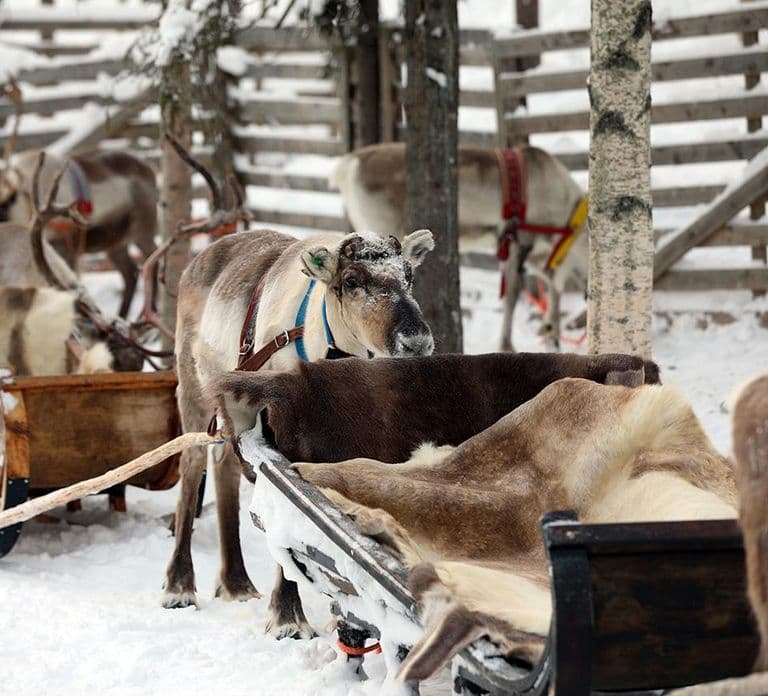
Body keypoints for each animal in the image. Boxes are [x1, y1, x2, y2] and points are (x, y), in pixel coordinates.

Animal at [0, 80, 158, 318]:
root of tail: (150, 170)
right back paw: (122, 316)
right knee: (130, 273)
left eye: (6, 201)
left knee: (153, 261)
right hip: (115, 241)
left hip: (142, 229)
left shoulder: (70, 241)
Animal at [161, 139, 436, 635]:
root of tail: (201, 256)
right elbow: (289, 507)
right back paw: (179, 585)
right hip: (192, 387)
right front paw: (287, 616)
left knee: (225, 465)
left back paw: (236, 583)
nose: (416, 341)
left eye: (408, 275)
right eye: (352, 280)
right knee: (192, 465)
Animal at [329, 142, 589, 352]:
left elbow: (551, 284)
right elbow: (515, 294)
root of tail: (346, 166)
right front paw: (509, 345)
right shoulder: (519, 240)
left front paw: (551, 334)